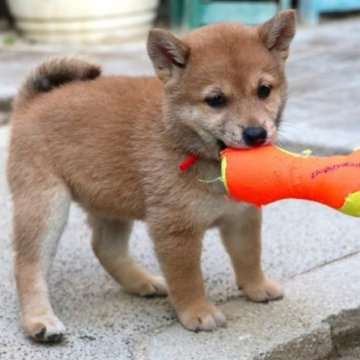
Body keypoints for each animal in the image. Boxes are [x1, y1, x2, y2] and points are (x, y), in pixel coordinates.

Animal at [7, 9, 296, 342]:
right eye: (216, 100)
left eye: (264, 90)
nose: (256, 134)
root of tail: (31, 103)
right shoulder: (174, 229)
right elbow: (187, 278)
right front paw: (198, 312)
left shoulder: (242, 216)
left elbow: (249, 255)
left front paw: (257, 287)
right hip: (45, 206)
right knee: (28, 264)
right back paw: (39, 321)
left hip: (110, 201)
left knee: (105, 248)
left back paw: (142, 282)